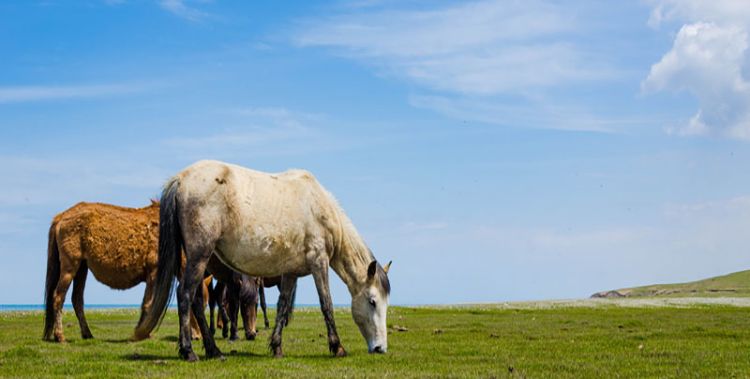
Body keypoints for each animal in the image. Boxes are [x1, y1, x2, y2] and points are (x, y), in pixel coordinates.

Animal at [136, 160, 394, 362]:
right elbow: (326, 304)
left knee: (197, 301)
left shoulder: (290, 273)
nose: (380, 348)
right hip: (200, 256)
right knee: (186, 295)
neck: (318, 206)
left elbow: (282, 306)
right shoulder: (319, 263)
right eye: (372, 302)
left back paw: (213, 350)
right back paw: (190, 352)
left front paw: (277, 347)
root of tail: (181, 179)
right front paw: (337, 347)